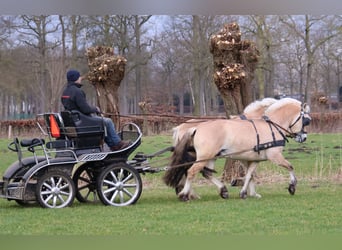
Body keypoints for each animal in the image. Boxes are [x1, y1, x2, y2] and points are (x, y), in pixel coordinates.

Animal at [164, 97, 312, 201]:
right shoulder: (274, 156)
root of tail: (195, 128)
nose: (304, 137)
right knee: (191, 172)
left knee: (206, 173)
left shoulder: (252, 159)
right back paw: (185, 195)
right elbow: (290, 166)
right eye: (306, 121)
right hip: (203, 157)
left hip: (210, 157)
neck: (271, 126)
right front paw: (292, 186)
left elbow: (250, 175)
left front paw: (246, 193)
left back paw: (222, 191)